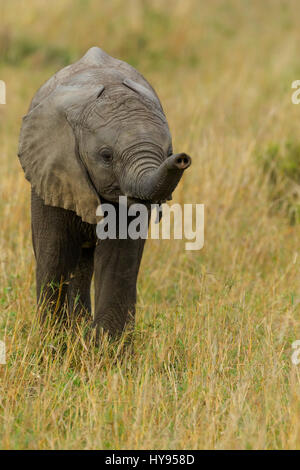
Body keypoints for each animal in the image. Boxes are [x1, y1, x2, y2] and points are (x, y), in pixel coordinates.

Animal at [18, 47, 191, 338]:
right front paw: (52, 345)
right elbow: (55, 256)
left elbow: (118, 262)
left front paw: (106, 348)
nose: (182, 159)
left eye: (168, 152)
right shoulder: (54, 168)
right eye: (106, 156)